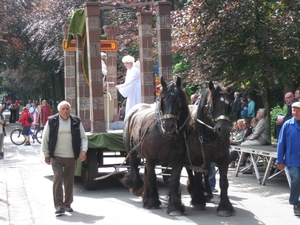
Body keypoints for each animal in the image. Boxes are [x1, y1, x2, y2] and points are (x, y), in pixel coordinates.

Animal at [120, 76, 189, 216]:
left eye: (178, 100)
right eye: (162, 99)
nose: (168, 125)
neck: (165, 136)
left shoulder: (178, 161)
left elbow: (174, 181)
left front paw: (175, 206)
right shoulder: (151, 158)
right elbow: (151, 177)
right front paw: (152, 202)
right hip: (132, 151)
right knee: (134, 165)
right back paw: (136, 187)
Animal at [185, 81, 234, 216]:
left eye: (229, 104)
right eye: (213, 104)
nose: (224, 129)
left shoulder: (224, 158)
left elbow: (223, 181)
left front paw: (225, 206)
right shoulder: (196, 158)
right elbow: (197, 177)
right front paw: (198, 201)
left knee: (206, 172)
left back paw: (207, 192)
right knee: (190, 172)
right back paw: (194, 191)